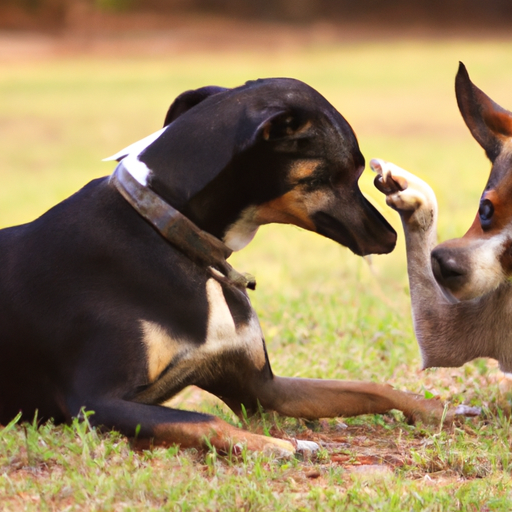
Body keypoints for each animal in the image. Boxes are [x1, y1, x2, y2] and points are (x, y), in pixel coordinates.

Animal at [0, 78, 446, 454]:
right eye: (346, 171)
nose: (389, 237)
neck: (175, 238)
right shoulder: (95, 402)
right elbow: (204, 420)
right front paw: (278, 446)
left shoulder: (261, 388)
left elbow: (374, 387)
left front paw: (438, 410)